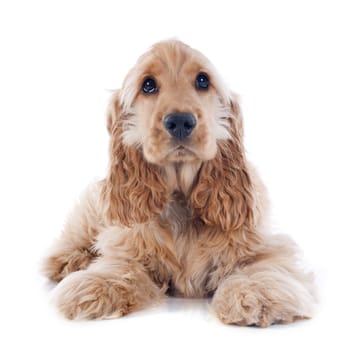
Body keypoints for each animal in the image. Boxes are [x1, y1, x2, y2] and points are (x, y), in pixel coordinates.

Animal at [42, 39, 316, 326]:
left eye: (203, 80)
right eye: (148, 85)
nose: (181, 121)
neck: (181, 198)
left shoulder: (261, 244)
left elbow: (261, 265)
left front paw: (257, 293)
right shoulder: (129, 245)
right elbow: (121, 265)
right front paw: (94, 286)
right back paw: (69, 260)